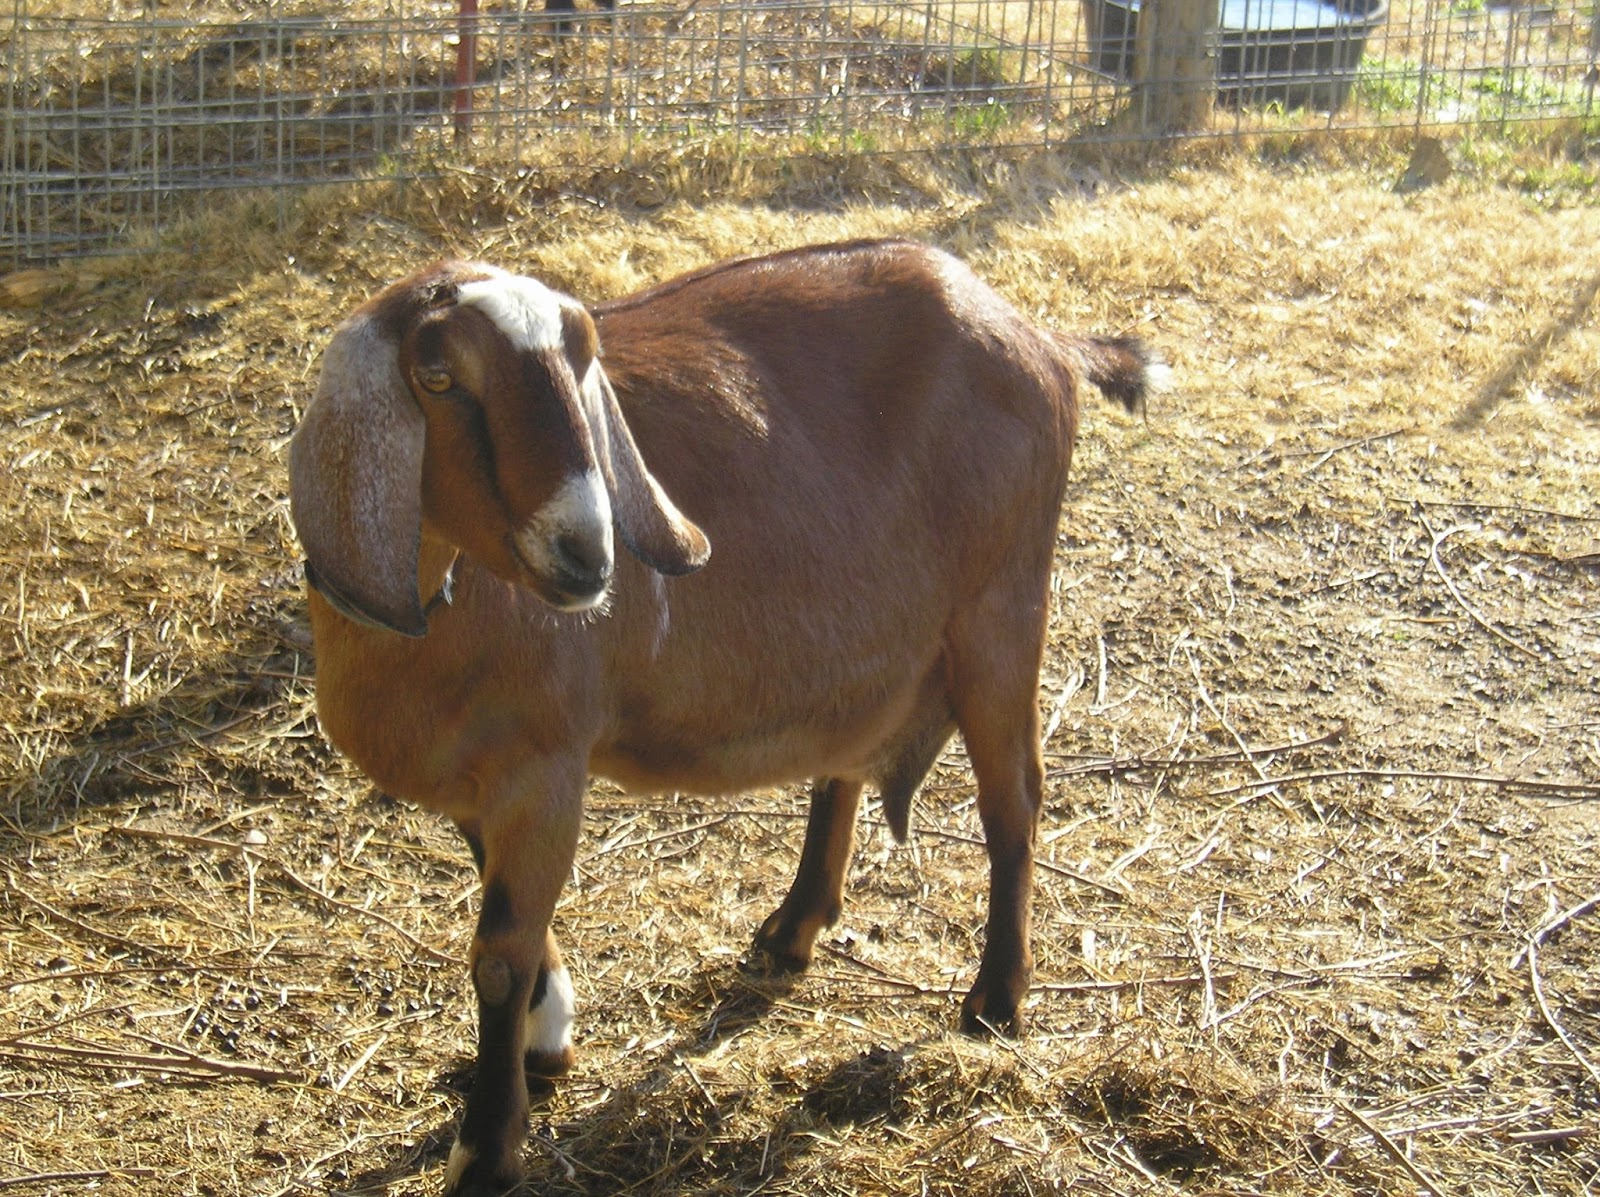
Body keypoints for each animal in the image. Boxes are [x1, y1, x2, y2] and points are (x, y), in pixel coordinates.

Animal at [288, 238, 1157, 1195]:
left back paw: (995, 999)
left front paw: (487, 1145)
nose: (588, 553)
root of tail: (1035, 334)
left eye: (583, 357)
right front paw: (546, 1042)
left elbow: (499, 957)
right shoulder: (487, 781)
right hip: (878, 643)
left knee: (1014, 802)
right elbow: (513, 922)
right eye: (437, 376)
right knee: (846, 760)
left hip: (1001, 605)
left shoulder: (543, 763)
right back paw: (792, 929)